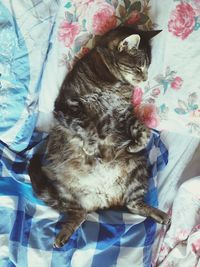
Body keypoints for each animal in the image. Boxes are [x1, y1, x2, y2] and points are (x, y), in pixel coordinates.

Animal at [28, 26, 170, 248]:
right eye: (139, 68)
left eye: (147, 68)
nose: (145, 79)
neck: (113, 80)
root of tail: (104, 199)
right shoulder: (68, 106)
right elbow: (87, 125)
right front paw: (91, 146)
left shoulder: (124, 113)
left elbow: (144, 129)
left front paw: (137, 143)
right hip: (63, 190)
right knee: (79, 213)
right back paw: (64, 234)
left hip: (137, 170)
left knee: (133, 205)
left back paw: (160, 214)